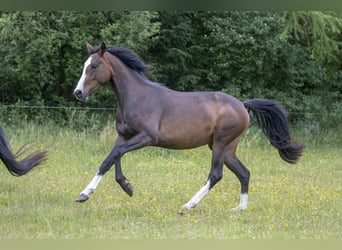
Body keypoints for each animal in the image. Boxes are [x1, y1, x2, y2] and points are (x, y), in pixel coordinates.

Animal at [73, 42, 304, 213]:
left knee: (216, 174)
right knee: (244, 173)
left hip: (220, 143)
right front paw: (123, 187)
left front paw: (87, 193)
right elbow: (111, 159)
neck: (137, 97)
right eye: (85, 65)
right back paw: (239, 209)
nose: (78, 93)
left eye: (94, 66)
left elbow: (115, 155)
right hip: (227, 147)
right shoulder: (123, 136)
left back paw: (188, 206)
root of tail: (242, 104)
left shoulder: (146, 138)